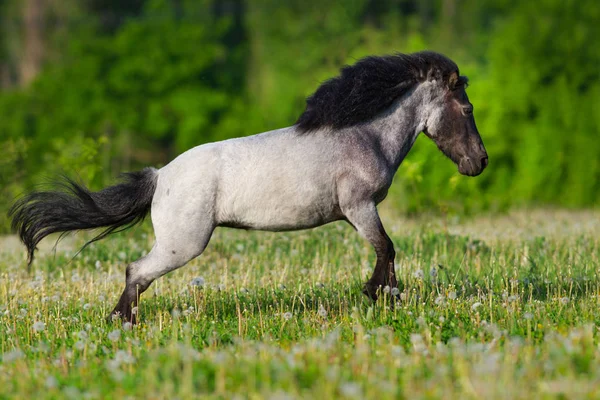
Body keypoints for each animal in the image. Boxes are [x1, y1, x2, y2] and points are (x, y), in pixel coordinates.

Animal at [9, 51, 488, 324]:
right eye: (466, 109)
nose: (479, 163)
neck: (363, 135)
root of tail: (160, 175)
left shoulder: (358, 213)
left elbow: (385, 249)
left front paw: (385, 297)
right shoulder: (359, 207)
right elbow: (386, 247)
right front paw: (380, 295)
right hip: (183, 244)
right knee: (135, 271)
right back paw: (121, 322)